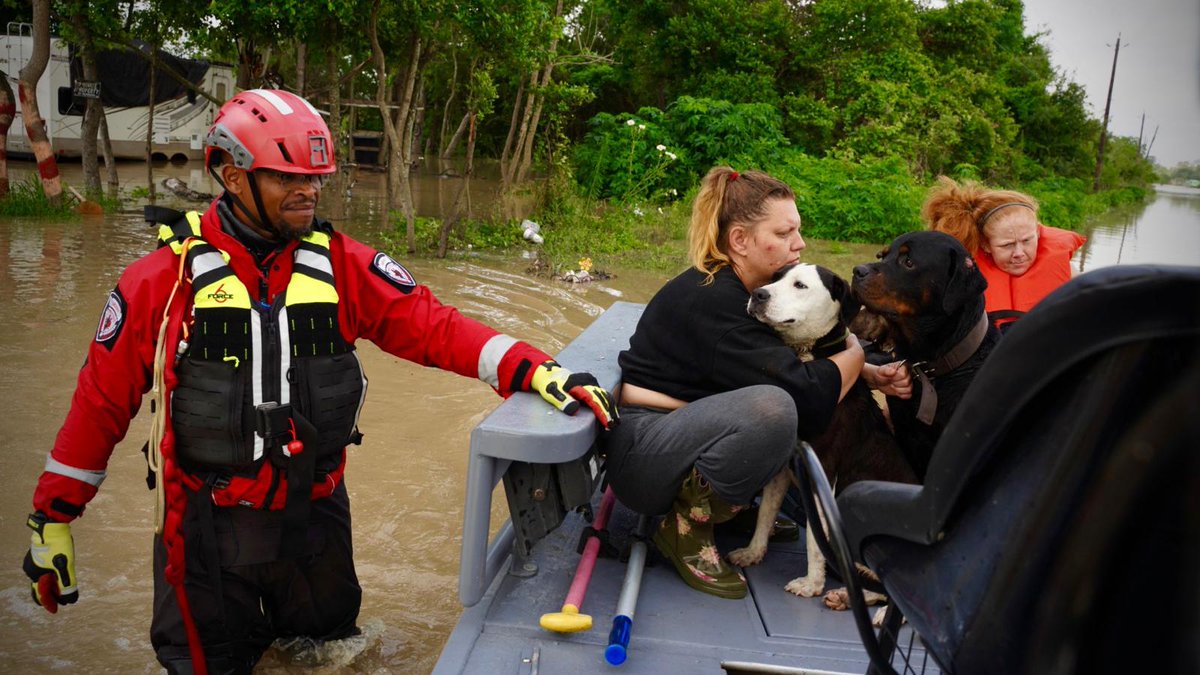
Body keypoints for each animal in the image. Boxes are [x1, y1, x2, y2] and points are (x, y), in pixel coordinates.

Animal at [724, 263, 912, 605]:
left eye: (800, 285)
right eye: (774, 278)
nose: (758, 294)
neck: (806, 353)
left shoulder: (821, 470)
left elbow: (815, 538)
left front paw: (811, 584)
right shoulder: (782, 467)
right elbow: (765, 513)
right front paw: (753, 552)